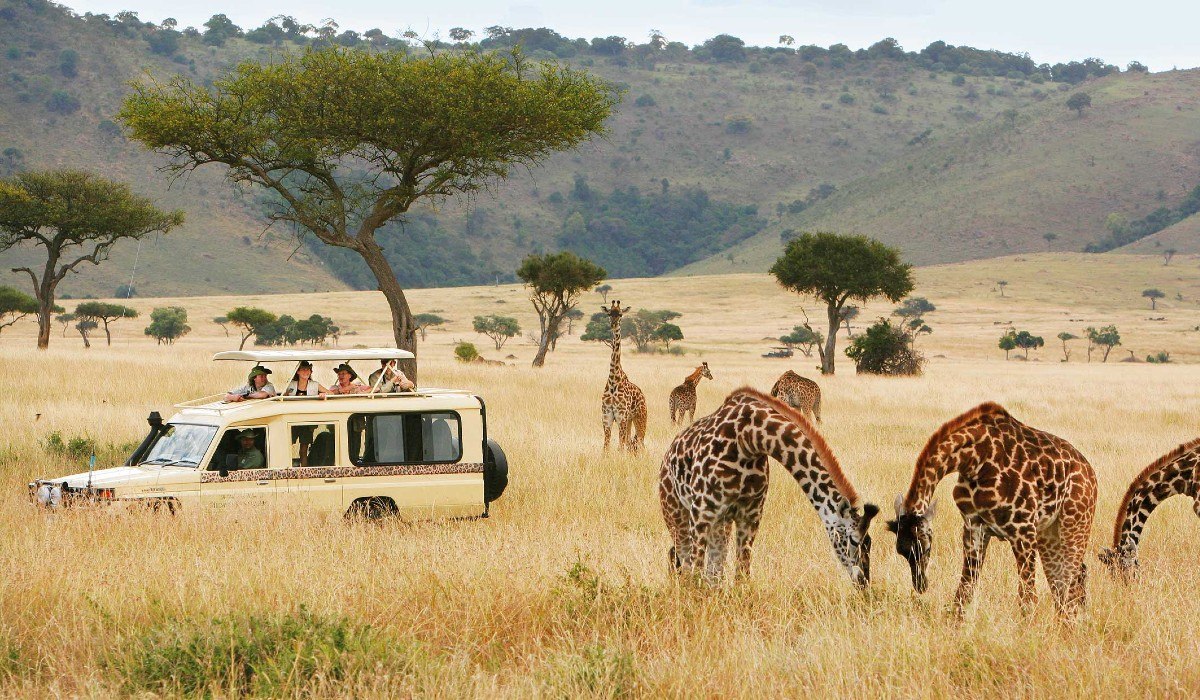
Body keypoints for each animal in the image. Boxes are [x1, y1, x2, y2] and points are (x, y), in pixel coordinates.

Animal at [600, 301, 648, 453]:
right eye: (609, 313)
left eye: (620, 314)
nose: (613, 323)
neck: (613, 379)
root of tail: (642, 394)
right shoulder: (607, 416)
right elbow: (606, 447)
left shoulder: (621, 415)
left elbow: (619, 447)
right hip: (629, 420)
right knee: (630, 443)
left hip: (640, 417)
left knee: (640, 443)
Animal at [657, 386, 883, 588]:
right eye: (854, 540)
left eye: (869, 542)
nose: (864, 582)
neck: (749, 438)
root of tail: (667, 456)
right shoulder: (702, 512)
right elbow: (696, 571)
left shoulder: (750, 515)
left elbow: (741, 575)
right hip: (676, 514)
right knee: (684, 563)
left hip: (721, 523)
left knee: (713, 572)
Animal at [883, 403, 1099, 619]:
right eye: (901, 551)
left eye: (926, 548)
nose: (921, 585)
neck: (974, 460)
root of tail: (1090, 471)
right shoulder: (974, 527)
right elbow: (964, 592)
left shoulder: (1023, 529)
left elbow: (1027, 599)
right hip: (1048, 533)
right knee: (1067, 581)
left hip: (1074, 523)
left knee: (1070, 580)